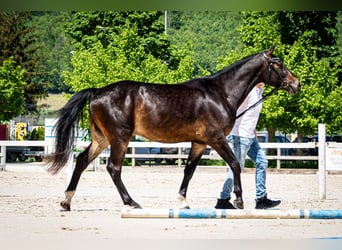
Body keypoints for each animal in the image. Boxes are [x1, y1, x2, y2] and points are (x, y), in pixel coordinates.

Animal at [47, 45, 300, 211]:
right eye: (278, 64)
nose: (296, 84)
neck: (220, 93)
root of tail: (98, 92)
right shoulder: (216, 139)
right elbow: (235, 164)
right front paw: (238, 200)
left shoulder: (199, 142)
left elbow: (189, 170)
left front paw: (183, 201)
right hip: (120, 138)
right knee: (113, 168)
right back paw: (131, 202)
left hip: (102, 139)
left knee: (82, 161)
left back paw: (66, 201)